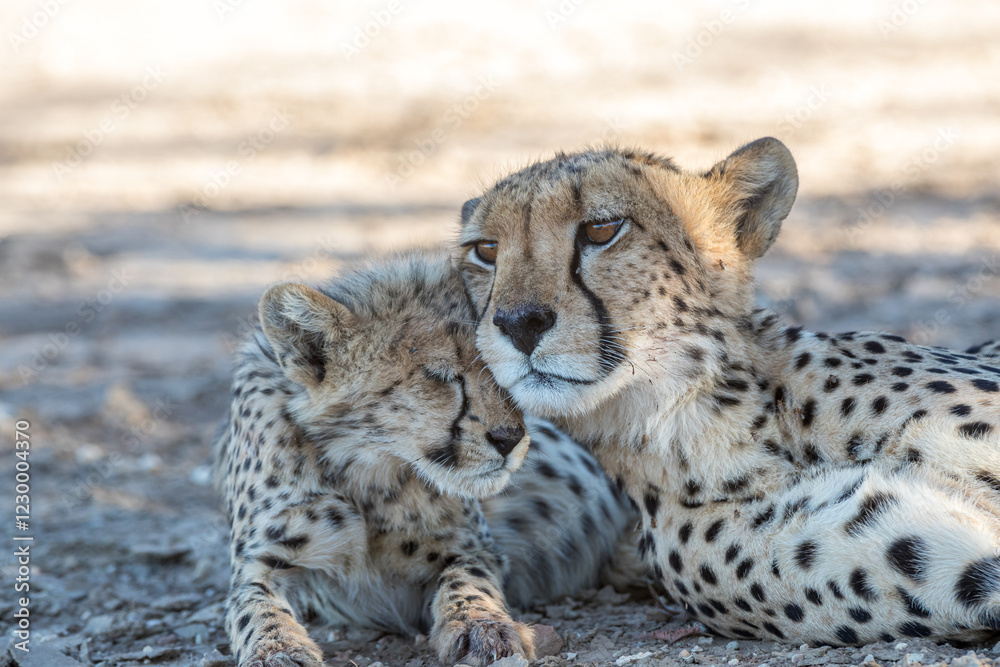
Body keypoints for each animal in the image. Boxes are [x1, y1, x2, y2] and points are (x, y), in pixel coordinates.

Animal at [212, 247, 637, 667]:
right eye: (440, 375)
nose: (510, 439)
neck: (367, 468)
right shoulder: (259, 563)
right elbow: (255, 608)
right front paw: (276, 649)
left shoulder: (473, 548)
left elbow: (467, 582)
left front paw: (482, 626)